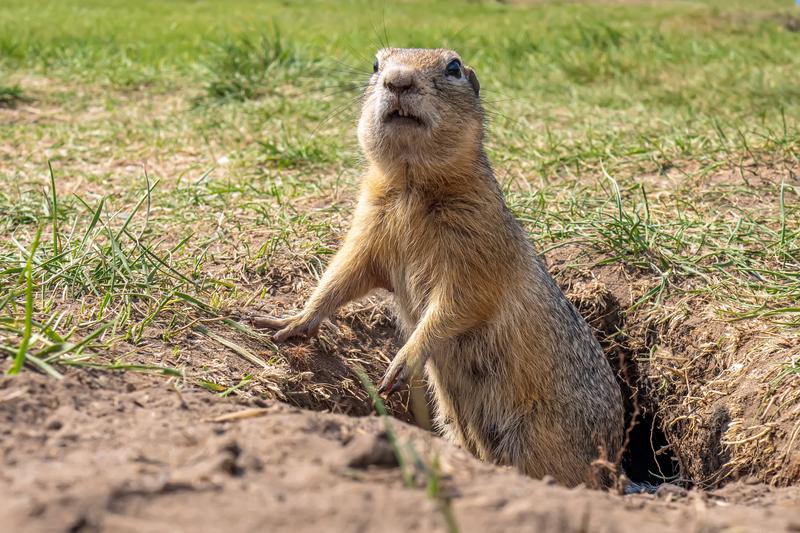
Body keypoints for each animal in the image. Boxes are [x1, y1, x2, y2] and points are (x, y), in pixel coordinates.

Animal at [256, 47, 624, 484]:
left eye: (453, 67)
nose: (397, 80)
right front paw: (288, 322)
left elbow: (458, 302)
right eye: (376, 64)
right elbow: (343, 274)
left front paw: (403, 361)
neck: (411, 185)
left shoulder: (475, 245)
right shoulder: (368, 228)